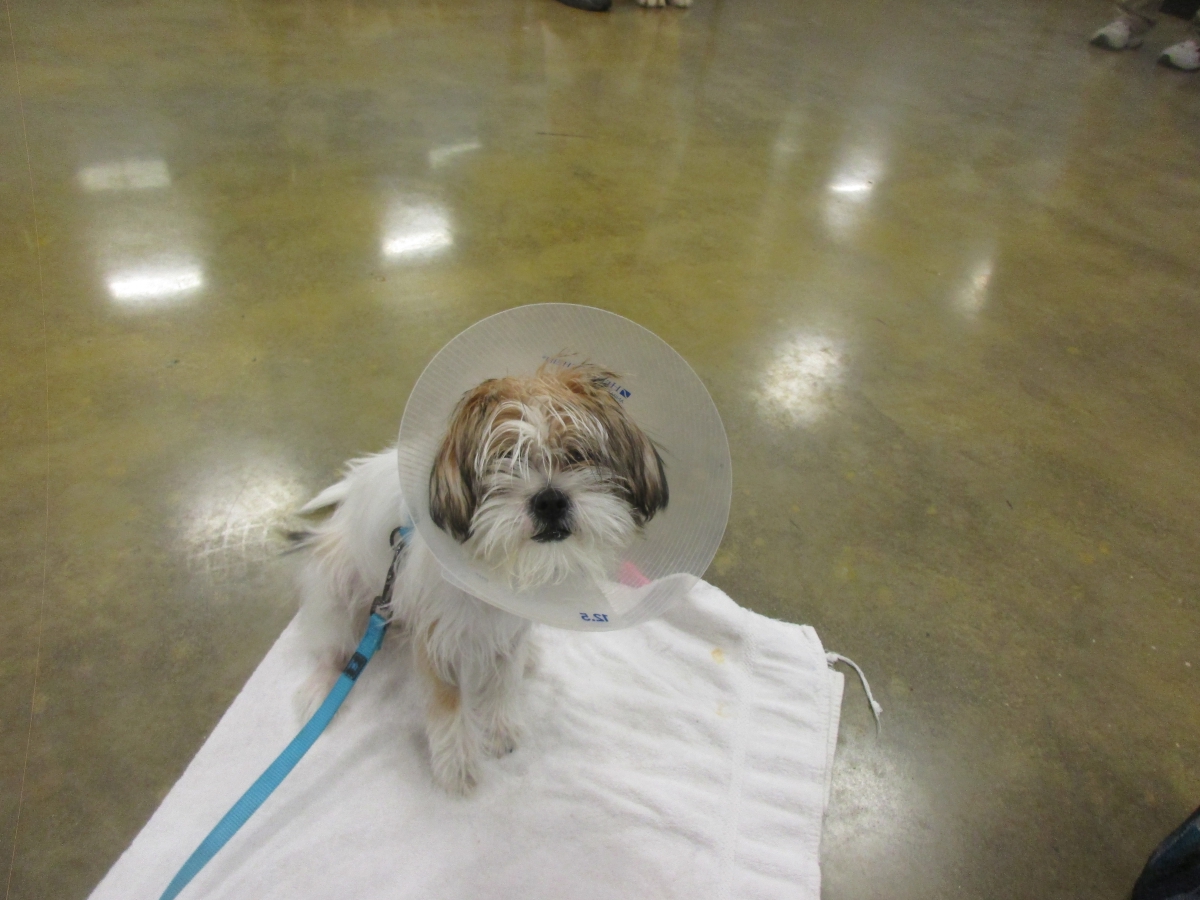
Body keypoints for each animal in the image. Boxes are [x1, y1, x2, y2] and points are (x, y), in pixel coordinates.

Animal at [294, 361, 669, 794]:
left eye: (579, 455)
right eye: (504, 460)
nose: (550, 499)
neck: (493, 565)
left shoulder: (509, 625)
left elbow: (504, 677)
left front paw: (500, 727)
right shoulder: (434, 634)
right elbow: (448, 700)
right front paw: (456, 763)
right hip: (335, 584)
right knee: (333, 643)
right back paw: (322, 687)